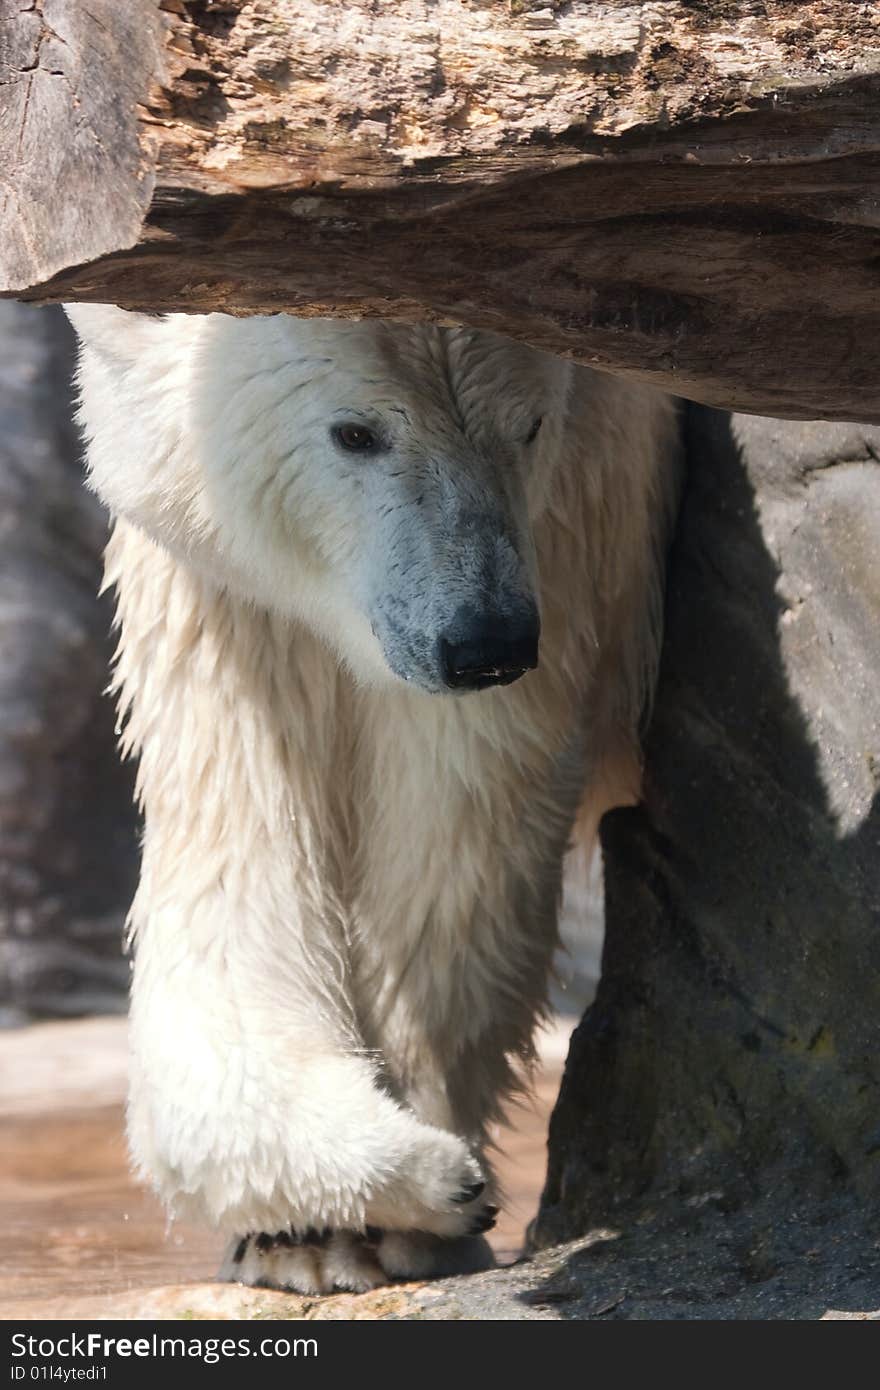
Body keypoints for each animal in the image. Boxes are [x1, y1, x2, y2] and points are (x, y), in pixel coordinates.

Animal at [67, 304, 678, 1289]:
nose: (484, 643)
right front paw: (328, 1220)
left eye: (529, 426)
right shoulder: (226, 600)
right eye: (355, 433)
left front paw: (413, 1202)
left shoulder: (566, 536)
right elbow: (240, 852)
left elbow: (452, 841)